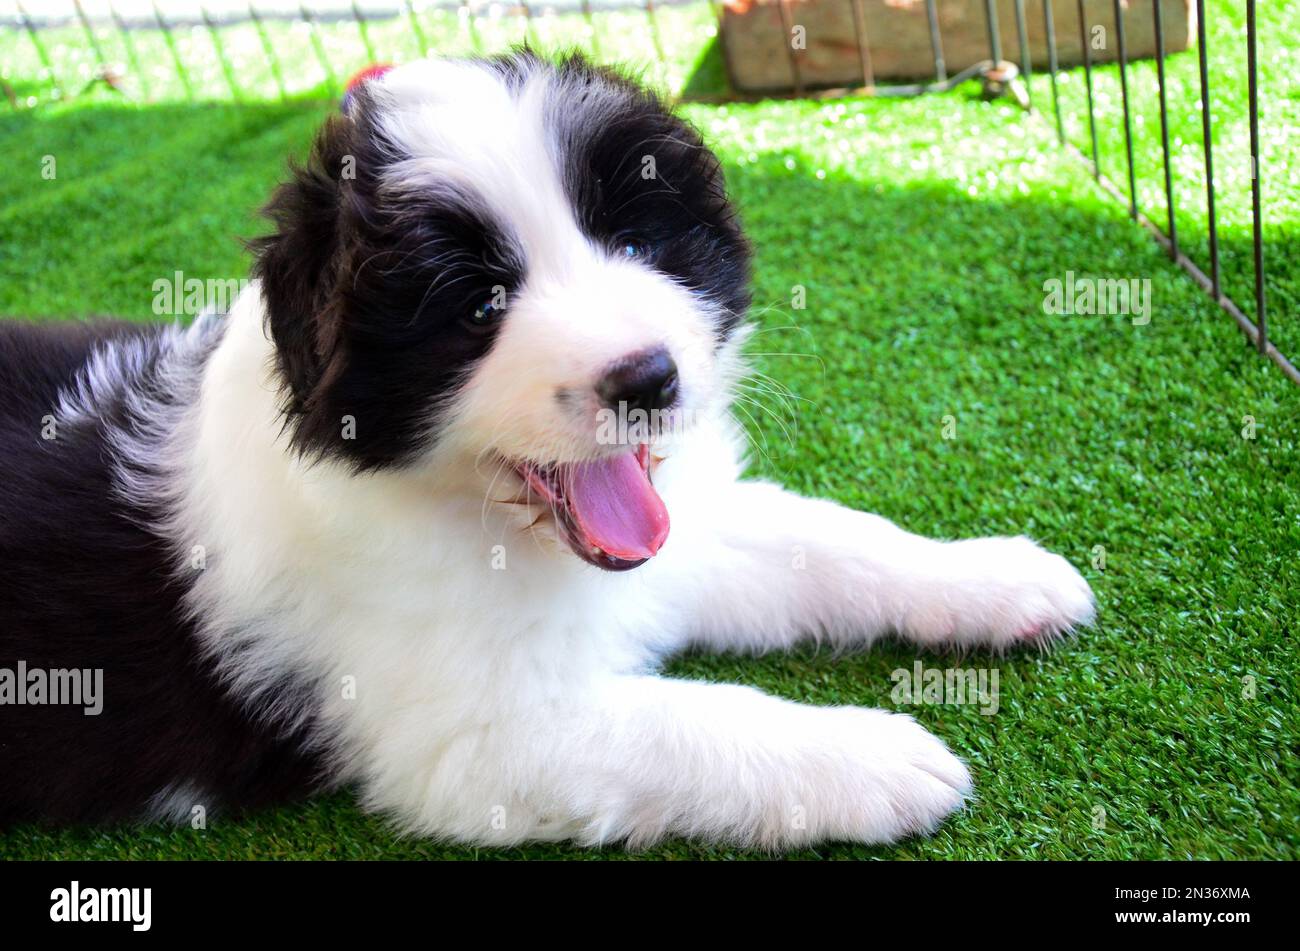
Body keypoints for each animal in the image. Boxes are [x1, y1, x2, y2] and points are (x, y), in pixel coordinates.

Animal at [0, 51, 1092, 847]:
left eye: (639, 246)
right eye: (478, 308)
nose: (650, 380)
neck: (484, 524)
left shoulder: (678, 542)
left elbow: (829, 540)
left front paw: (998, 579)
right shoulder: (477, 739)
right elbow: (689, 723)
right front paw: (880, 759)